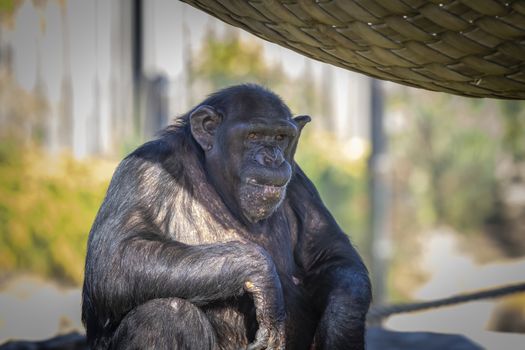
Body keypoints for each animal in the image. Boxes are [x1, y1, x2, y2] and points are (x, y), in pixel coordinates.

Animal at [81, 85, 368, 350]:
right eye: (253, 135)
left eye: (280, 137)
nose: (272, 158)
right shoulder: (144, 171)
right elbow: (115, 257)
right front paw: (263, 278)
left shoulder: (300, 182)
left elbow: (332, 256)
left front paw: (341, 323)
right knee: (165, 314)